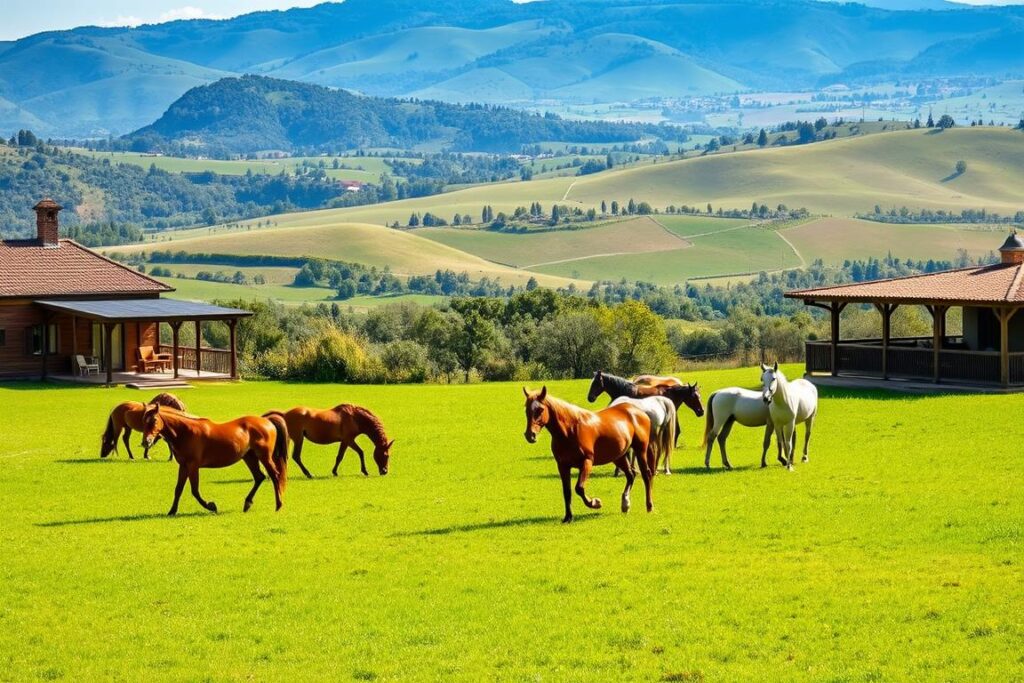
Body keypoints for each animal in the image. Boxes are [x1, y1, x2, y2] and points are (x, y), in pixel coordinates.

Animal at [139, 404, 289, 515]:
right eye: (143, 421)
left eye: (154, 420)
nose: (146, 442)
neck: (186, 432)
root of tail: (266, 420)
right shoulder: (183, 466)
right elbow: (178, 489)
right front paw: (172, 511)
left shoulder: (193, 466)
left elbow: (195, 491)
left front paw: (211, 506)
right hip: (249, 457)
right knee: (259, 477)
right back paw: (247, 503)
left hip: (264, 457)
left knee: (275, 476)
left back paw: (278, 505)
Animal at [263, 404, 393, 479]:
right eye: (386, 455)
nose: (385, 471)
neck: (355, 417)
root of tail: (284, 414)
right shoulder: (348, 440)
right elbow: (345, 455)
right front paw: (336, 472)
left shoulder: (347, 441)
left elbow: (355, 453)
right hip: (298, 439)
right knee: (296, 456)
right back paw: (308, 474)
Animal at [523, 386, 654, 523]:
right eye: (526, 409)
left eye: (540, 409)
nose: (530, 435)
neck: (570, 430)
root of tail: (638, 411)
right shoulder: (563, 466)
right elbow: (567, 491)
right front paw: (568, 517)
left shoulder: (586, 462)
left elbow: (579, 488)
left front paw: (595, 503)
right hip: (619, 456)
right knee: (631, 475)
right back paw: (625, 504)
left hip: (640, 450)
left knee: (646, 475)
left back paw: (649, 506)